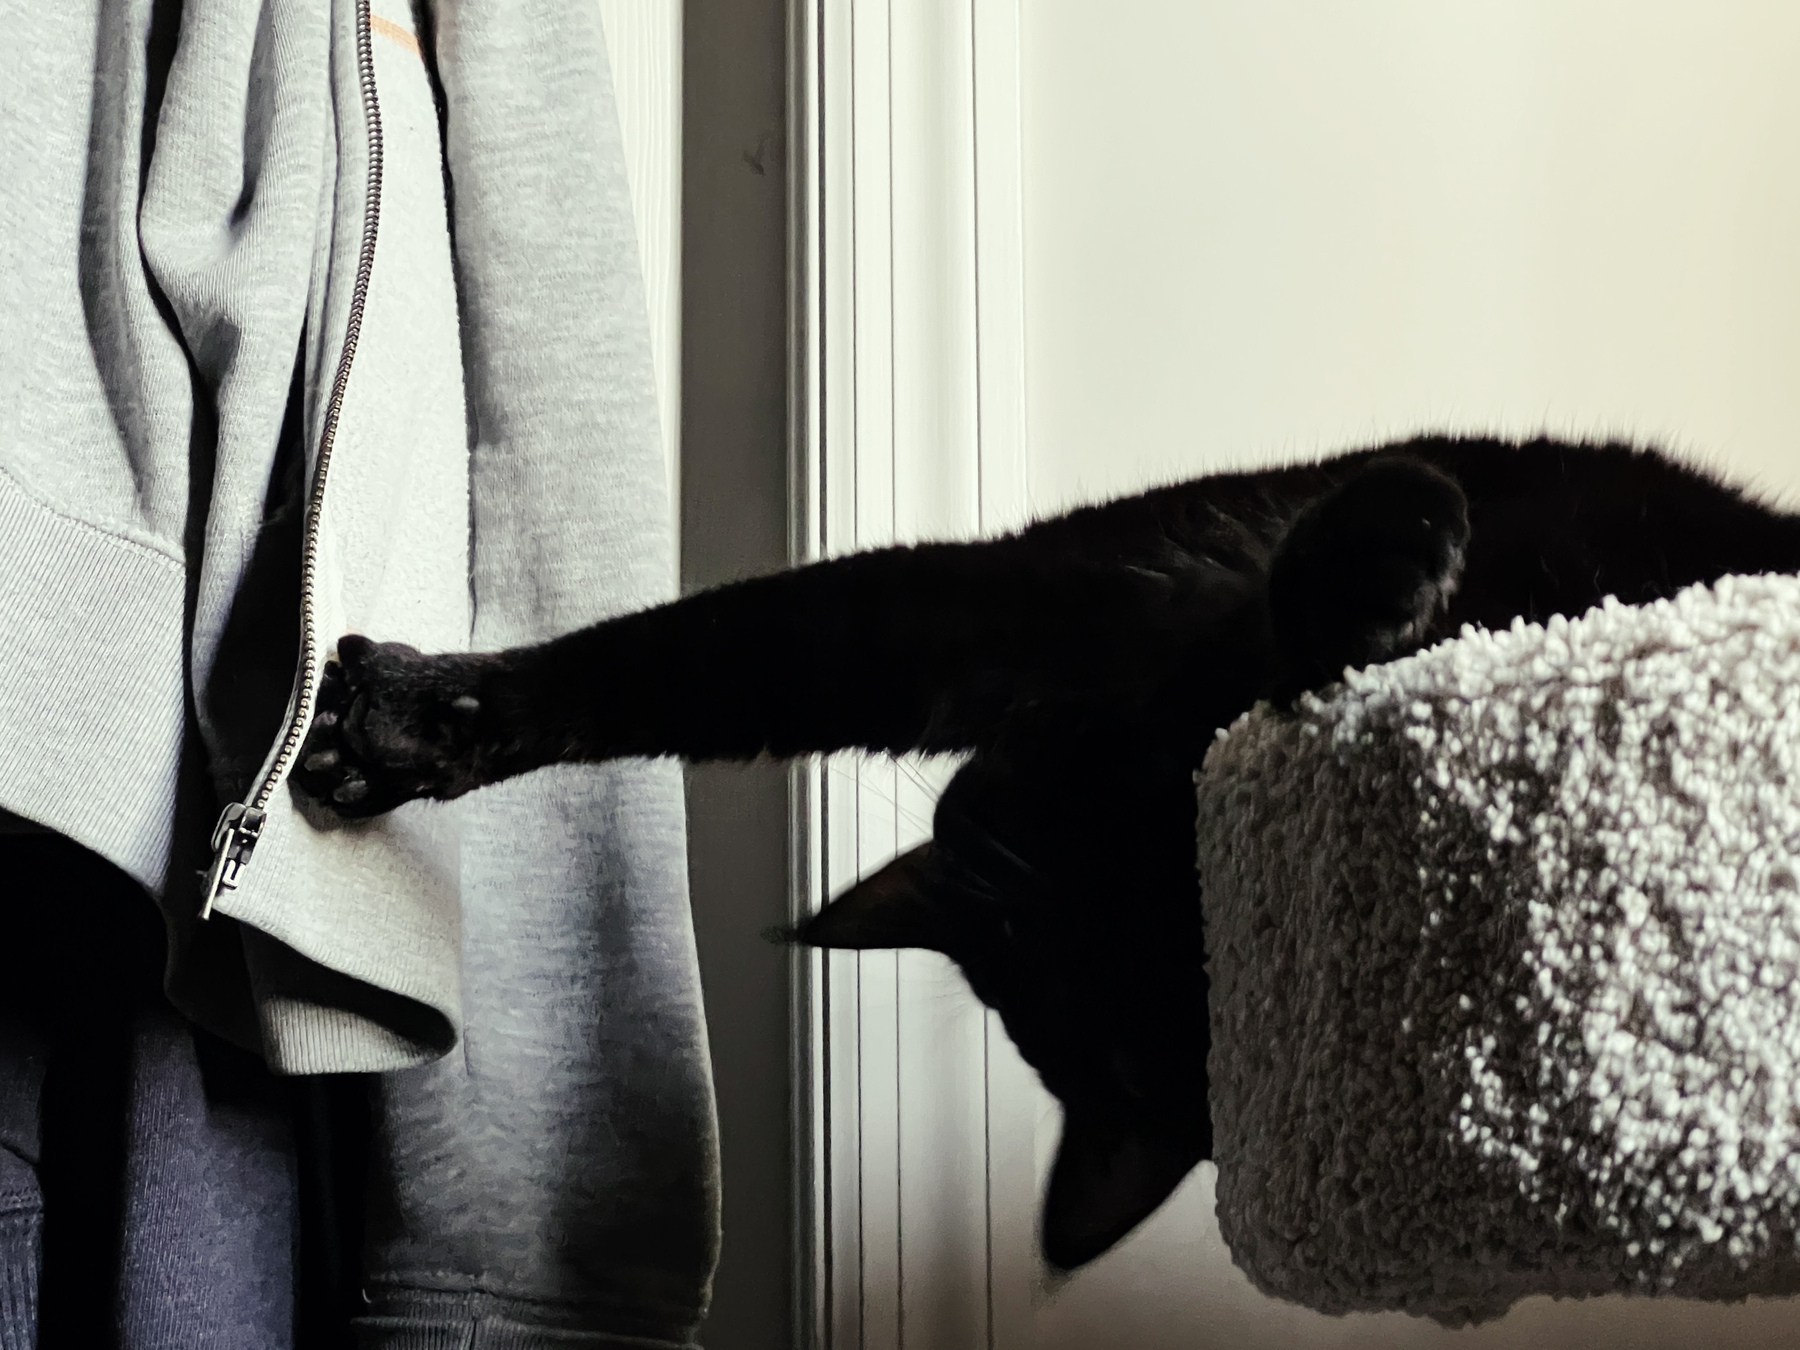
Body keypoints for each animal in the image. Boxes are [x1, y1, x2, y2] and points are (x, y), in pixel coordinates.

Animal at [288, 439, 1800, 1274]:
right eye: (1022, 889)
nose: (972, 810)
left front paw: (1383, 572)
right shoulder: (1007, 610)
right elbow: (684, 656)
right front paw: (422, 719)